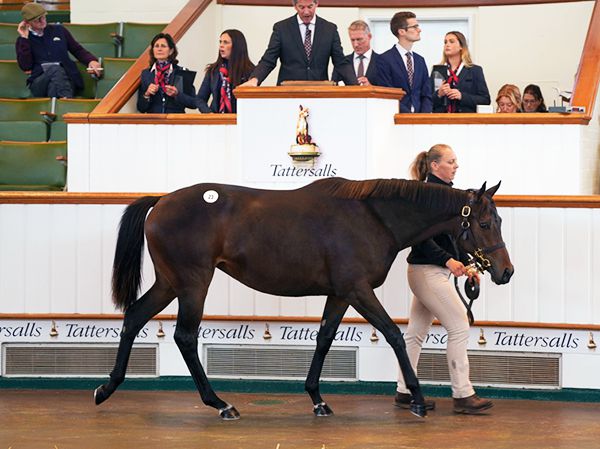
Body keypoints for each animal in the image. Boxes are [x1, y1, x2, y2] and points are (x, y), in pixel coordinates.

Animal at [95, 177, 516, 418]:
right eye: (483, 223)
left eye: (498, 221)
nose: (505, 272)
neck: (373, 217)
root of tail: (161, 200)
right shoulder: (358, 289)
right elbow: (395, 336)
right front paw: (415, 398)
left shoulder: (340, 293)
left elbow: (325, 338)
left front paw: (317, 399)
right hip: (193, 283)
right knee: (184, 336)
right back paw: (221, 404)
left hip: (170, 283)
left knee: (134, 316)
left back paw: (107, 388)